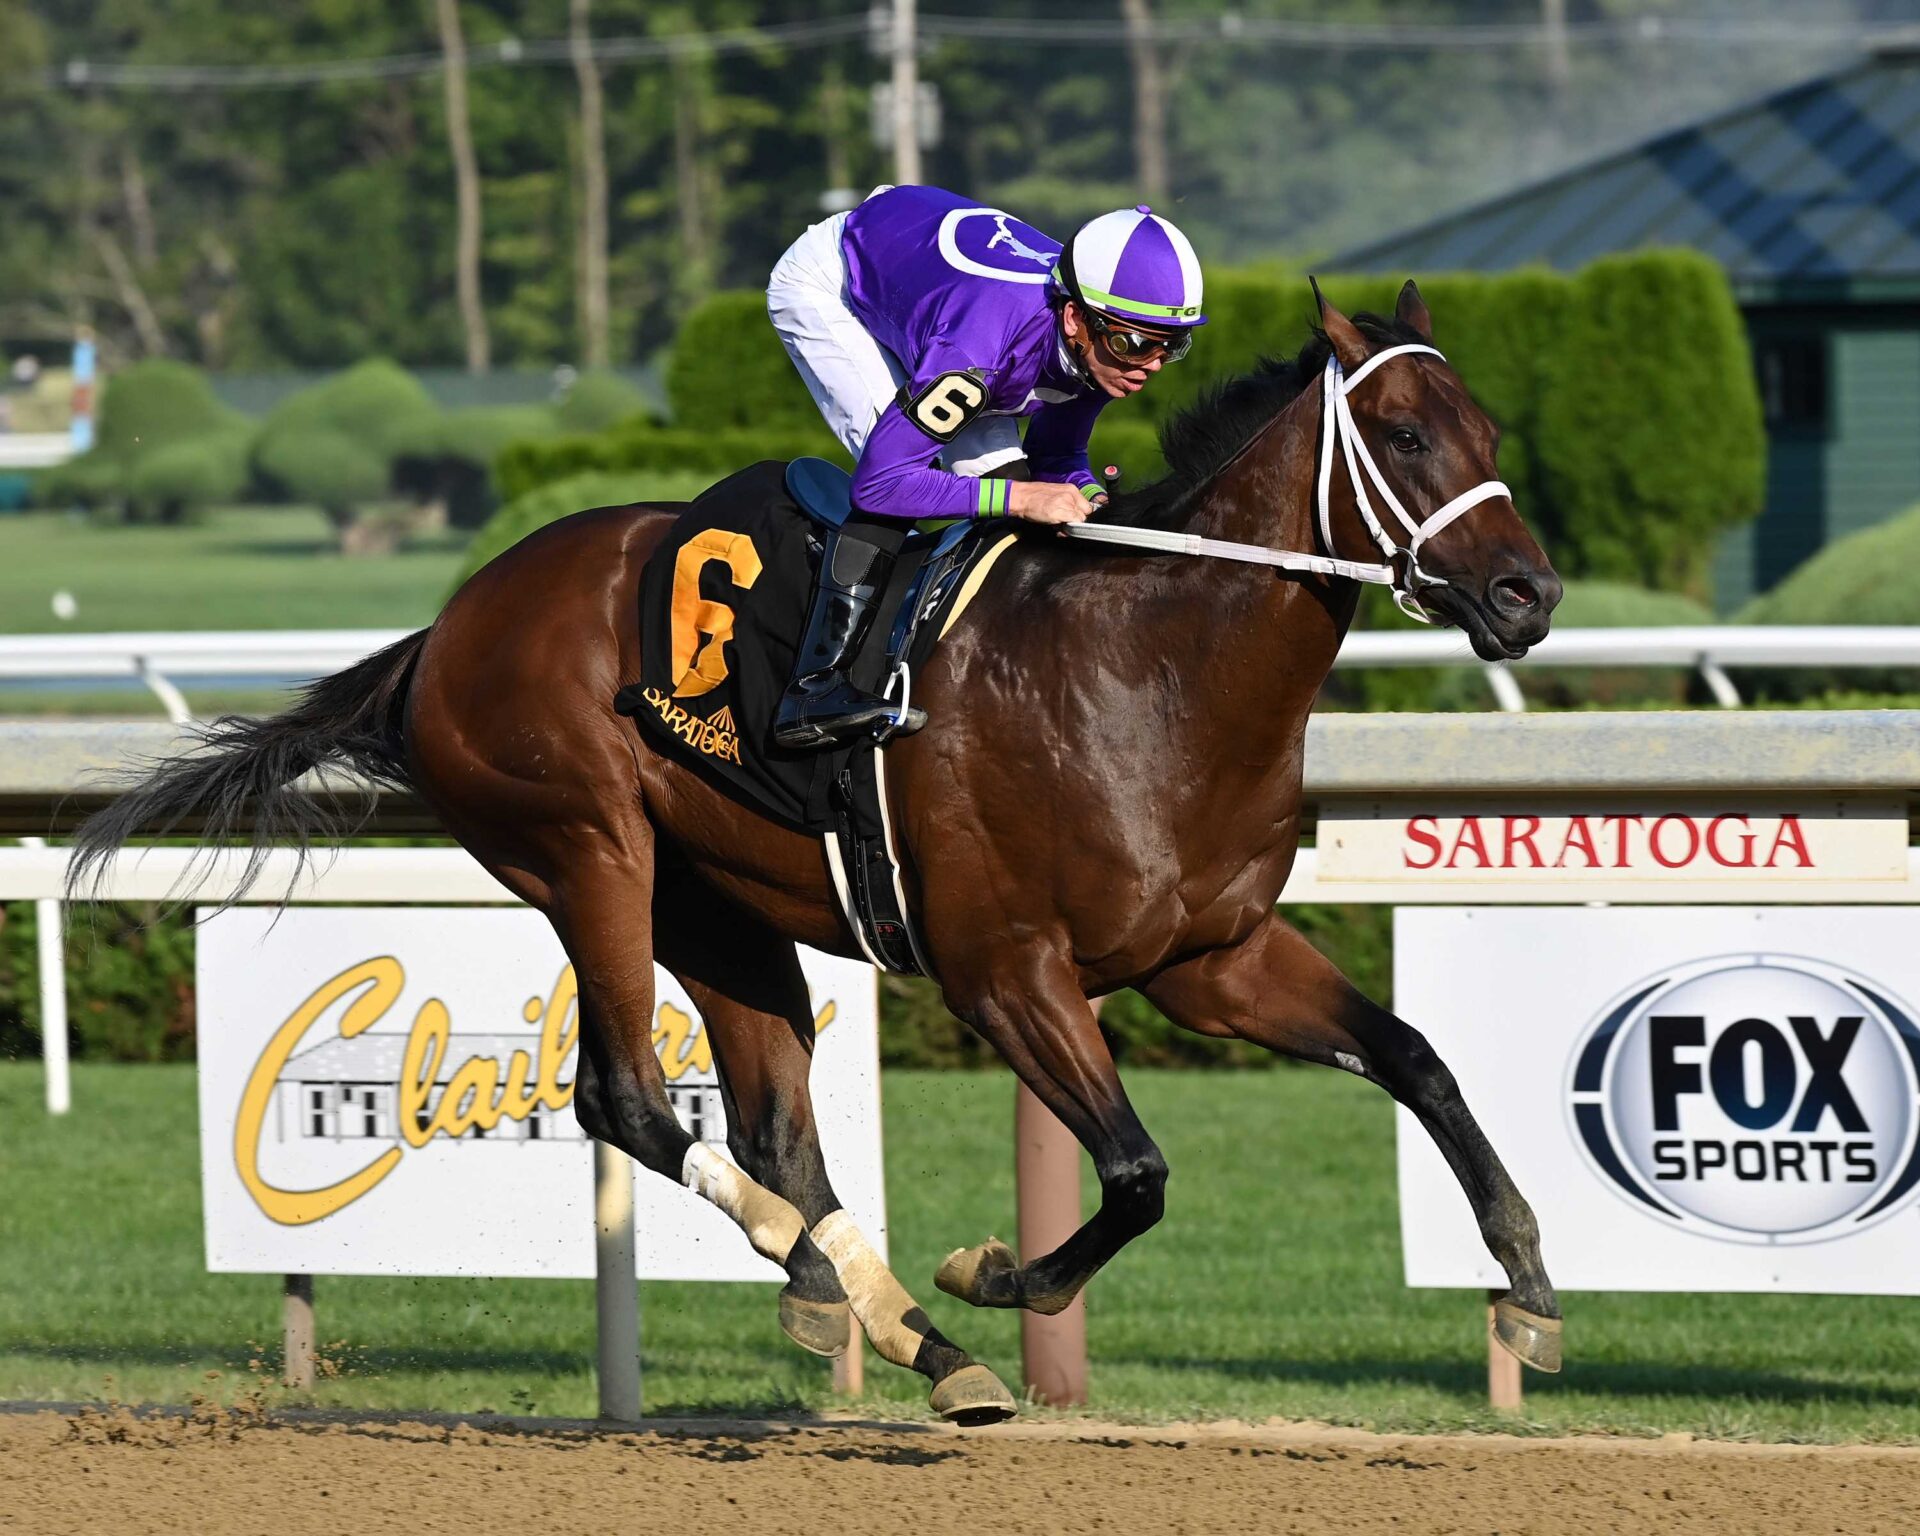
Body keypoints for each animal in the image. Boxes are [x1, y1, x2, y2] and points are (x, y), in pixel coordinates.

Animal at [73, 284, 1564, 1425]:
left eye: (1491, 426)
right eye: (1404, 430)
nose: (1527, 593)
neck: (1144, 665)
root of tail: (445, 626)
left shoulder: (1213, 957)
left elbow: (1417, 1057)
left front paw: (1530, 1285)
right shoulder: (1005, 971)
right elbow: (1138, 1174)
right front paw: (998, 1274)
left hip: (719, 908)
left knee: (774, 1128)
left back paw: (898, 1328)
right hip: (587, 851)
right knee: (628, 1100)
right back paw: (873, 1296)